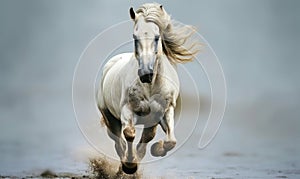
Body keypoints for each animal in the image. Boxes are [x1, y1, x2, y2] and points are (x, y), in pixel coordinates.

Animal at [96, 2, 199, 173]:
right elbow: (129, 133)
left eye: (157, 37)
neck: (150, 87)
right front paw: (130, 165)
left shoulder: (164, 111)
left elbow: (170, 141)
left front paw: (157, 149)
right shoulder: (127, 110)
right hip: (110, 118)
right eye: (135, 37)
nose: (146, 74)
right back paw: (124, 166)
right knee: (119, 142)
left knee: (144, 139)